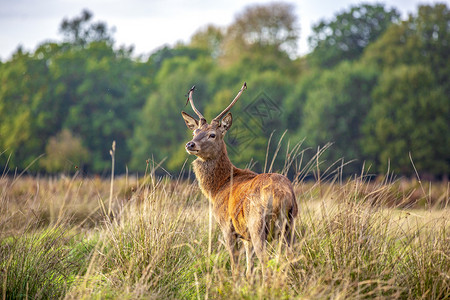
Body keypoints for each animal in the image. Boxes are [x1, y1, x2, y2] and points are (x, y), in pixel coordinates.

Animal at [181, 82, 298, 278]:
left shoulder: (227, 226)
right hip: (290, 225)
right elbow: (249, 268)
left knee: (266, 262)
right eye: (195, 132)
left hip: (258, 224)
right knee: (288, 259)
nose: (190, 144)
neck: (218, 188)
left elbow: (236, 266)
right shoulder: (246, 237)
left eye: (212, 134)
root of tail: (283, 196)